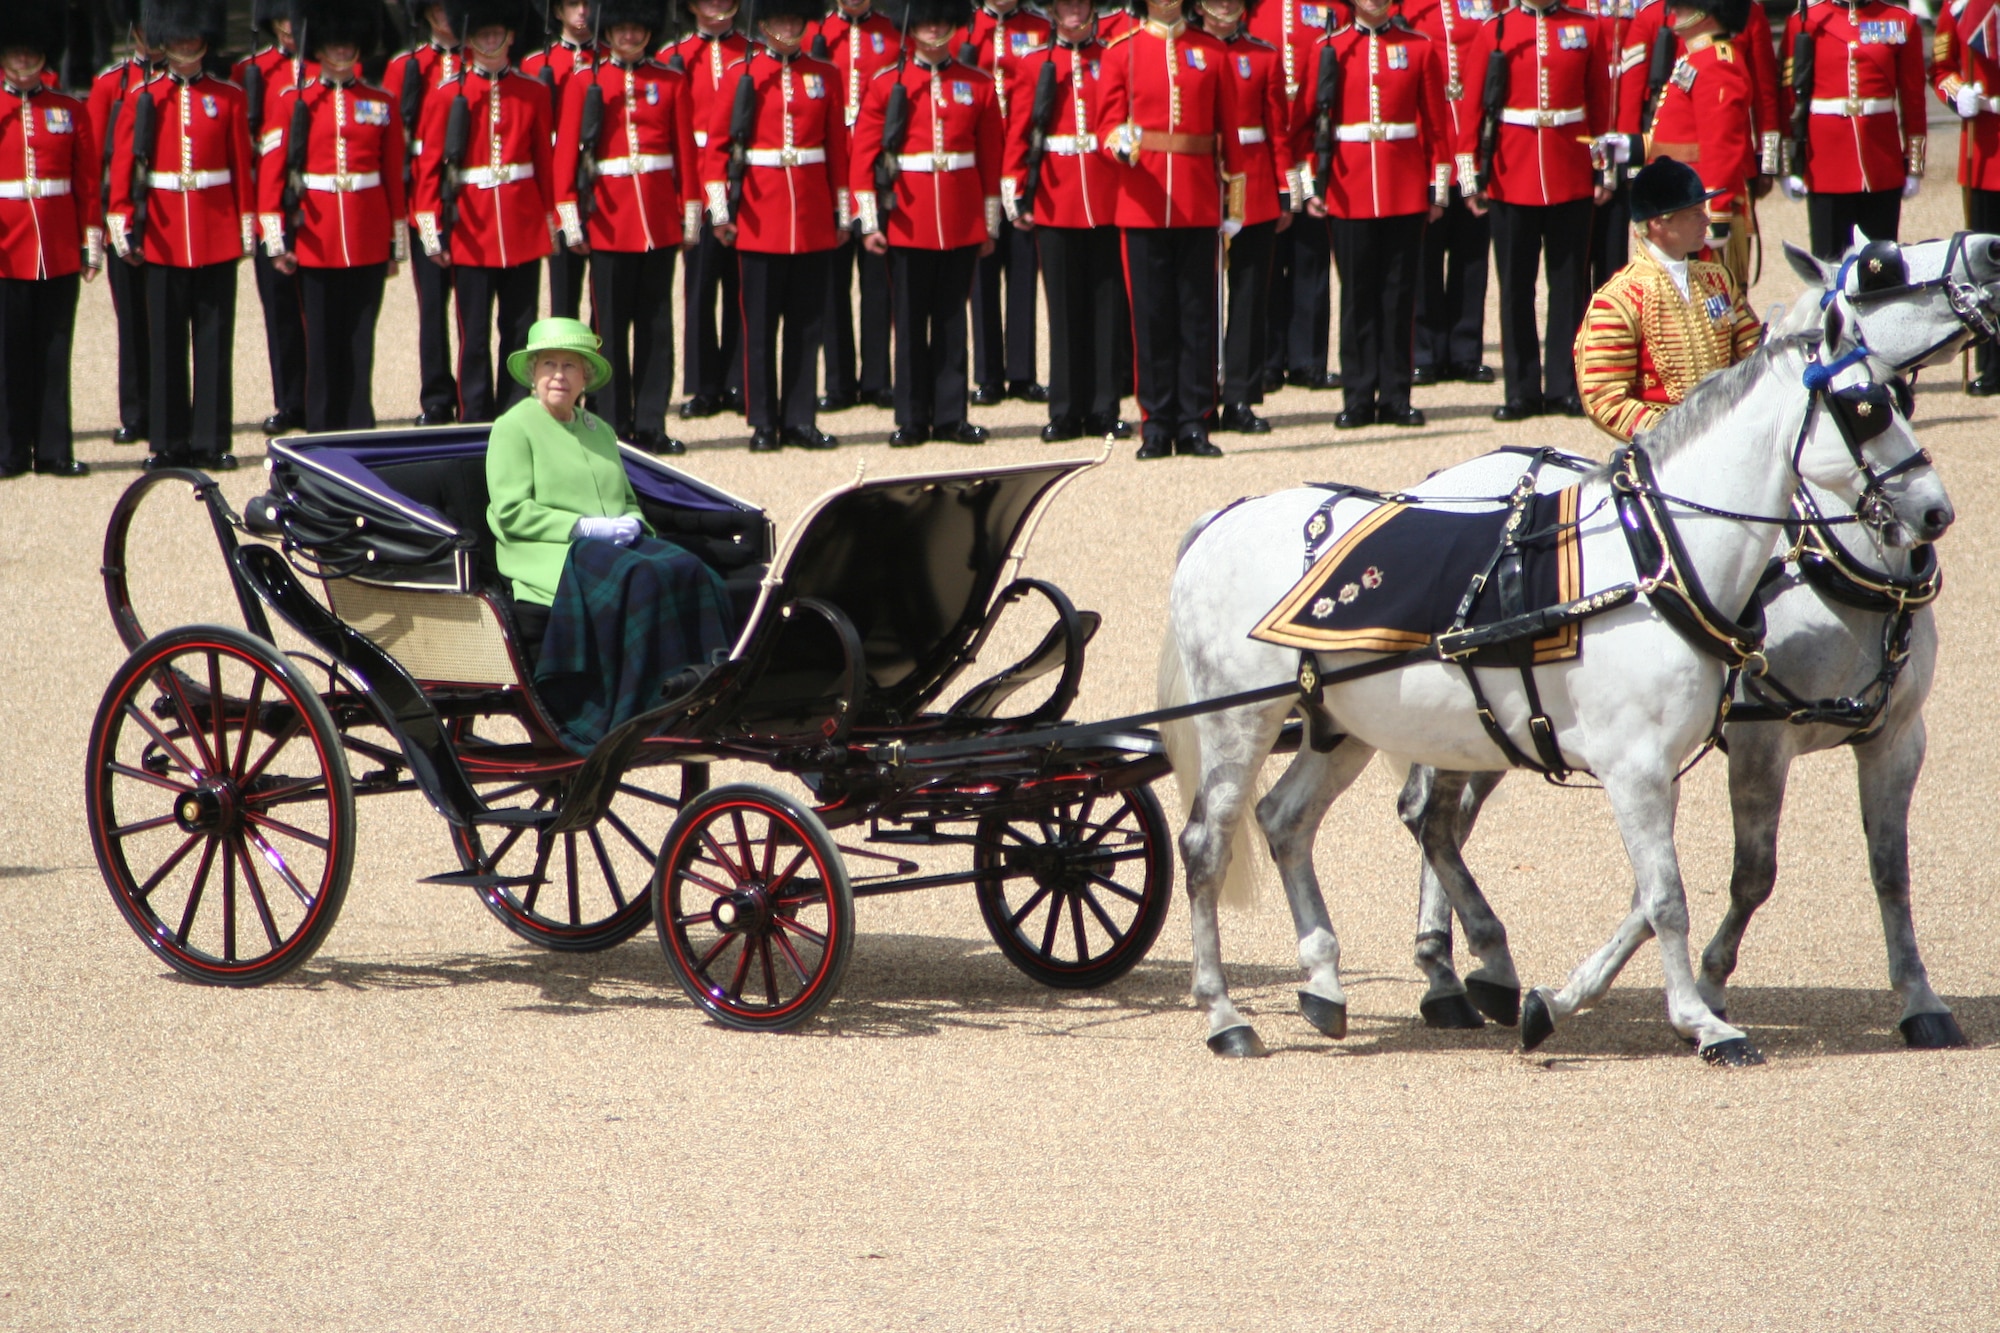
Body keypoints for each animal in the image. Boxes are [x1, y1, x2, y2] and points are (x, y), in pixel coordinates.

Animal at [1160, 236, 1968, 1056]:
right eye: (1864, 410)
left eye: (1899, 400)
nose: (1936, 511)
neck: (1657, 557)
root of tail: (1226, 517)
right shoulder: (1669, 760)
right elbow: (1671, 895)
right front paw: (1700, 1018)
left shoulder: (1727, 756)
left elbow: (1768, 881)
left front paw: (1560, 1000)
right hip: (1240, 721)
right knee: (1207, 844)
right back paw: (1226, 1012)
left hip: (1346, 725)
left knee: (1290, 819)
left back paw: (1330, 980)